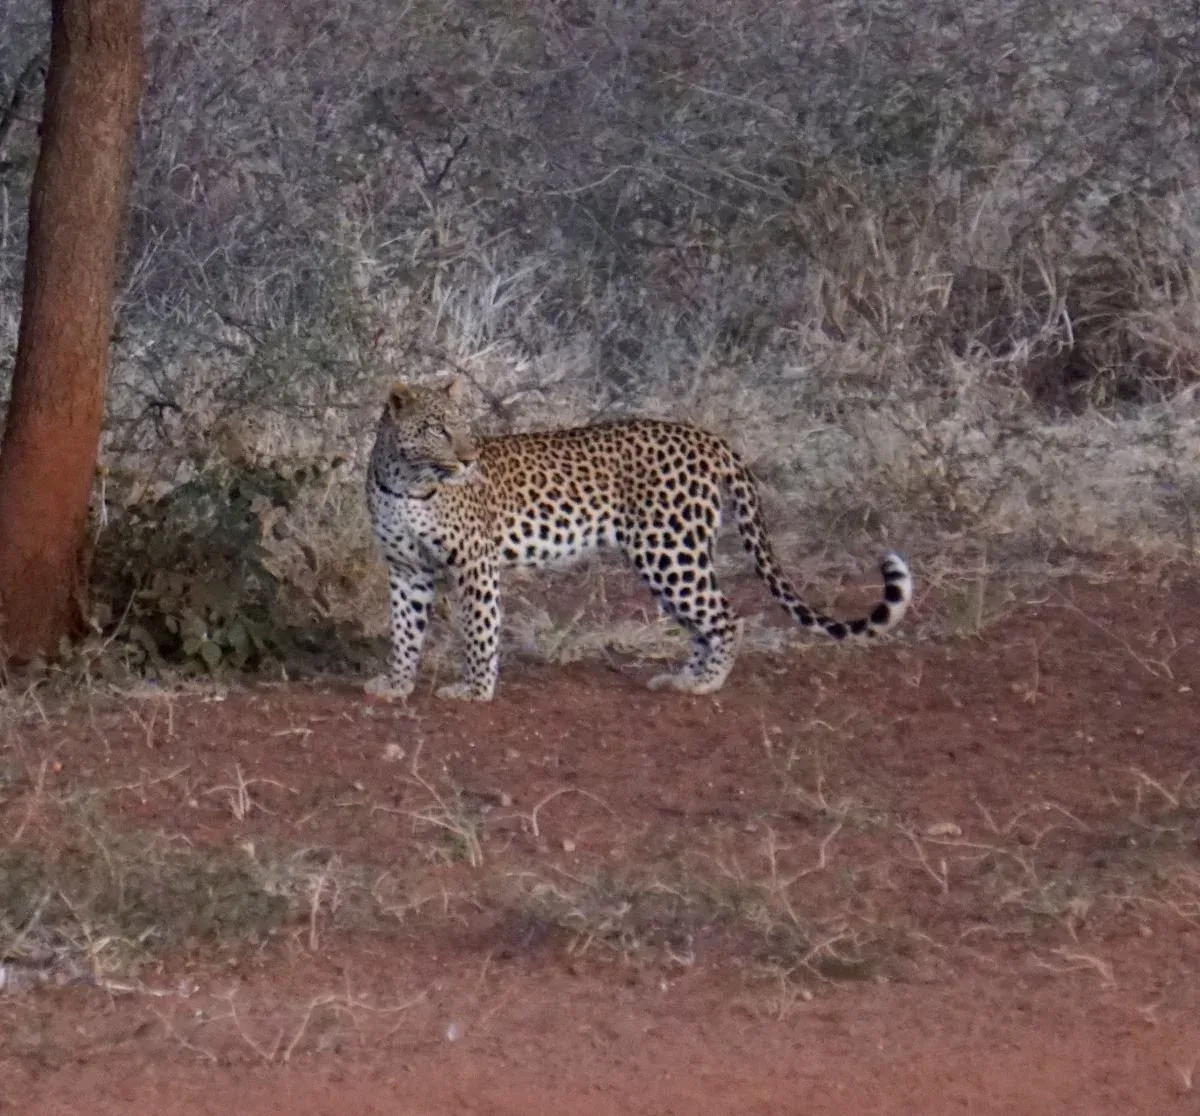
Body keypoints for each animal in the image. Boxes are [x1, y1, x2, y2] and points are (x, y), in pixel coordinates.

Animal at [364, 377, 912, 702]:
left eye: (462, 427)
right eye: (436, 429)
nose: (469, 457)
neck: (407, 483)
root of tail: (708, 438)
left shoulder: (474, 562)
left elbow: (479, 629)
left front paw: (475, 690)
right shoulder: (407, 569)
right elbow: (405, 630)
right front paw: (396, 685)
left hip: (669, 550)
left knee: (727, 616)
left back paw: (706, 683)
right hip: (669, 555)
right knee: (703, 622)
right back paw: (683, 677)